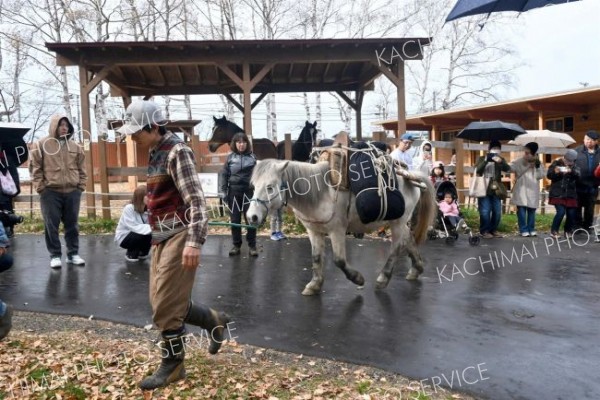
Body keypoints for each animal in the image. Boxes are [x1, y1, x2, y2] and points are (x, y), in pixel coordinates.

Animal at [245, 158, 436, 296]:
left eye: (270, 187)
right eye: (253, 186)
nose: (251, 216)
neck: (320, 193)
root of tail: (410, 176)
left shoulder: (336, 231)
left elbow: (339, 260)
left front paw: (357, 279)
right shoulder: (314, 231)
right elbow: (316, 258)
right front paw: (314, 285)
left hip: (397, 222)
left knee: (397, 247)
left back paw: (383, 278)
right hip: (400, 223)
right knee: (408, 239)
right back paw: (416, 269)